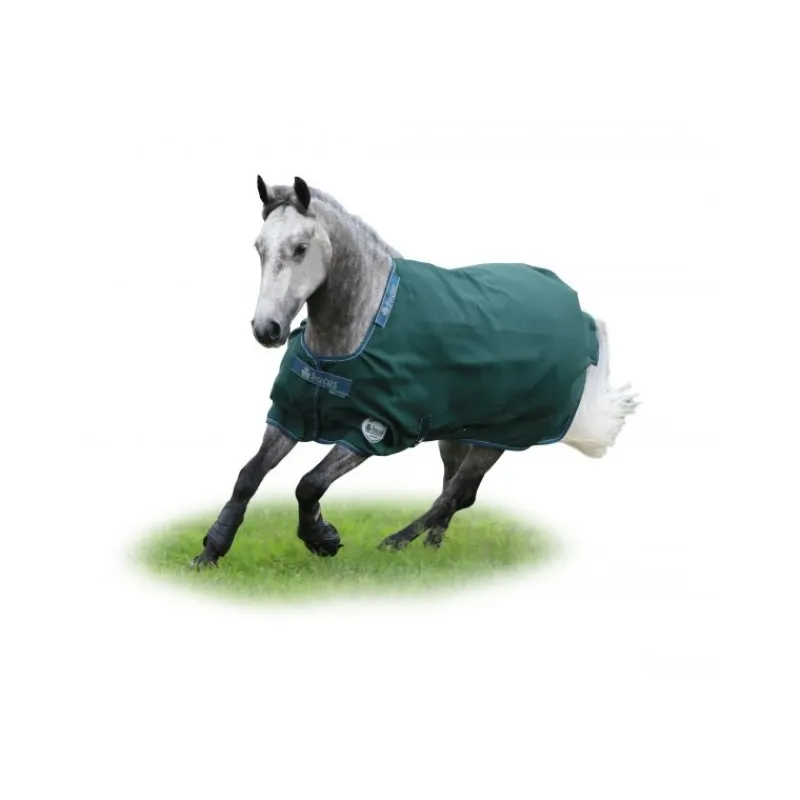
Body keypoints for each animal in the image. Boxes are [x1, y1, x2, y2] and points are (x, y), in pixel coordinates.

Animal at [192, 176, 638, 567]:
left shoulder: (374, 430)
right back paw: (430, 548)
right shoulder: (290, 414)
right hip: (460, 432)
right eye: (259, 247)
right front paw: (211, 551)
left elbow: (310, 483)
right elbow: (248, 475)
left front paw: (323, 539)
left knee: (455, 494)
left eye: (300, 248)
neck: (358, 327)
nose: (266, 330)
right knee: (458, 490)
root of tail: (576, 308)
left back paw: (395, 543)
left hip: (499, 437)